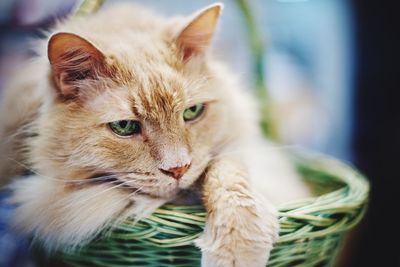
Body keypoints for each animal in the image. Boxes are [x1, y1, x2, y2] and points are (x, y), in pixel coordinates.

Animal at [0, 2, 310, 267]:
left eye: (192, 112)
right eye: (124, 127)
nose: (178, 169)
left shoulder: (236, 152)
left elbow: (227, 173)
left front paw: (237, 246)